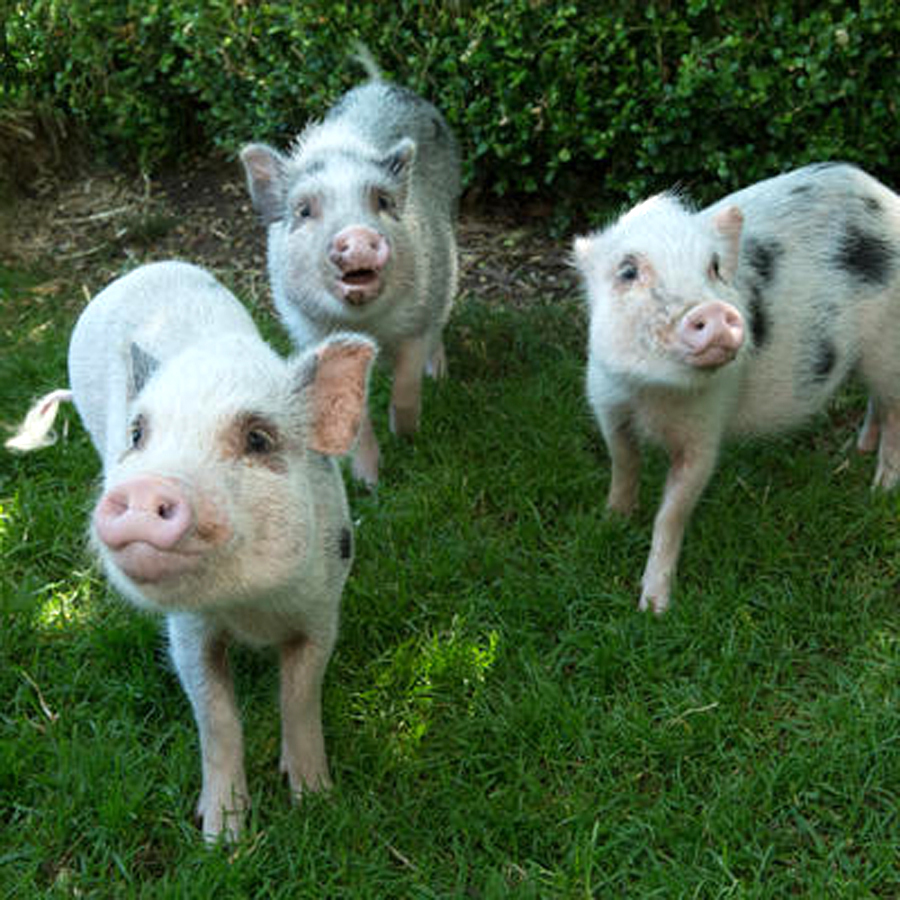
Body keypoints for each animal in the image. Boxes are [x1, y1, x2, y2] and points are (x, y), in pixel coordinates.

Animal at [6, 261, 376, 840]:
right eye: (138, 434)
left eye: (258, 439)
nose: (144, 488)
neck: (252, 609)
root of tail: (142, 269)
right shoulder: (189, 629)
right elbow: (217, 719)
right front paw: (221, 838)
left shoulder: (323, 611)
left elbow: (299, 699)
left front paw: (316, 802)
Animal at [240, 56, 460, 485]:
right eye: (304, 210)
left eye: (383, 201)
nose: (357, 235)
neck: (370, 327)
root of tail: (378, 83)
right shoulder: (311, 332)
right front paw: (369, 483)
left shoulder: (417, 315)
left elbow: (407, 381)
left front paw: (406, 435)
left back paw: (439, 375)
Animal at [574, 163, 900, 614]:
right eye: (627, 271)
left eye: (713, 268)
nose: (713, 310)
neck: (653, 394)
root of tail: (887, 198)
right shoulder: (607, 403)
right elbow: (623, 465)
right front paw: (610, 521)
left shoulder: (705, 430)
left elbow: (671, 514)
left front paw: (653, 609)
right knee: (878, 404)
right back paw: (856, 450)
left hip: (890, 351)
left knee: (895, 417)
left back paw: (880, 491)